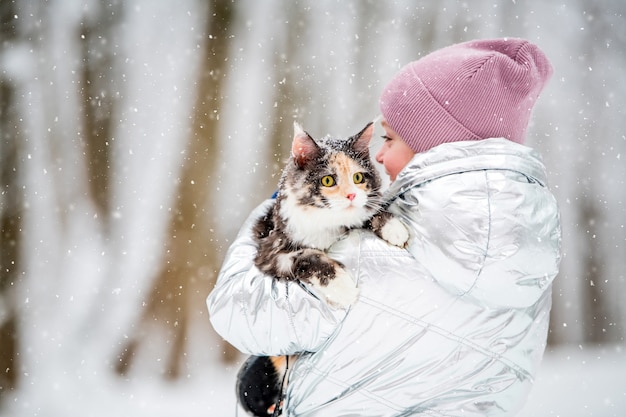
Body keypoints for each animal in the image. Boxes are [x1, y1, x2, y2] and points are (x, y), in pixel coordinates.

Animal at [254, 120, 410, 306]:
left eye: (358, 178)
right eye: (327, 180)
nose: (351, 195)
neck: (328, 223)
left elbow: (366, 214)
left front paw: (394, 228)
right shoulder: (270, 250)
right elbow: (308, 255)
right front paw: (343, 288)